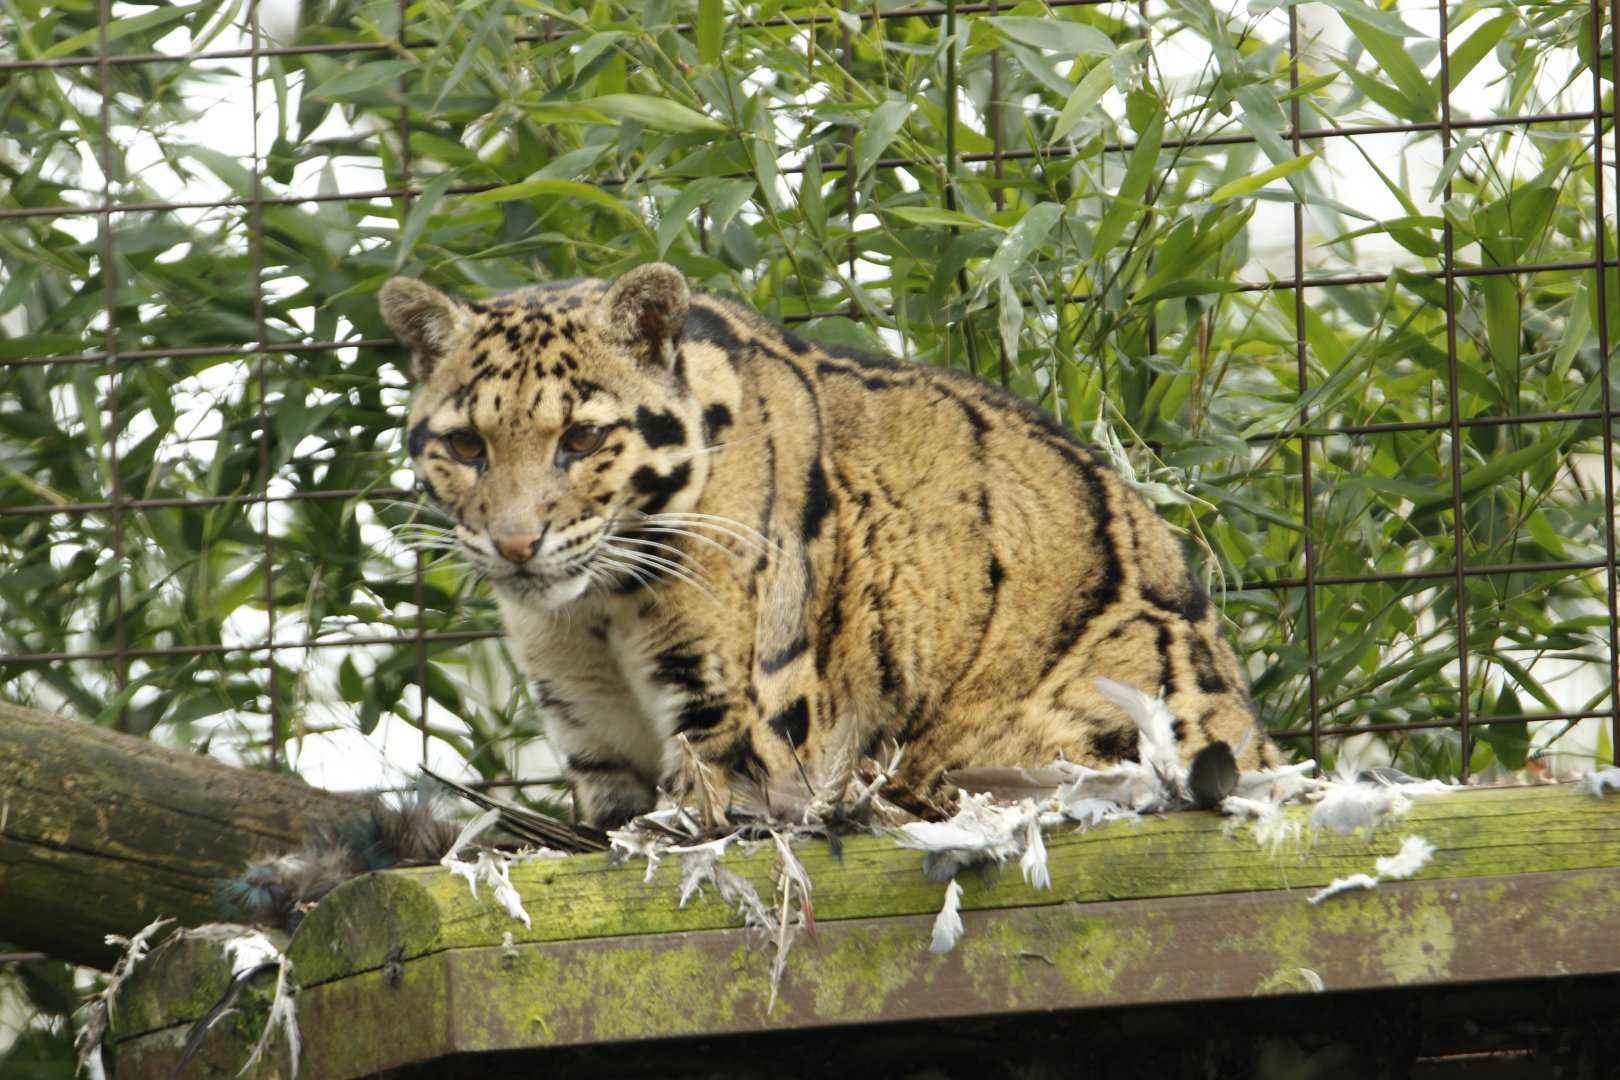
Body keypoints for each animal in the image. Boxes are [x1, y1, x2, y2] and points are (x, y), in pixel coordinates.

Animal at [379, 263, 1279, 827]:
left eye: (582, 438)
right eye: (466, 446)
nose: (515, 544)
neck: (598, 612)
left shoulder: (741, 728)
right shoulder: (594, 742)